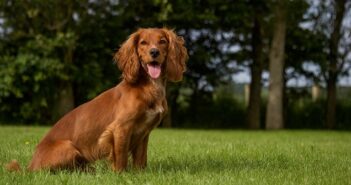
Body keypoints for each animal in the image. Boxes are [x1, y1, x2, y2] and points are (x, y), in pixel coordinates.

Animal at [6, 27, 188, 172]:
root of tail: (30, 166)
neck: (149, 87)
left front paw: (139, 174)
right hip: (69, 148)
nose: (154, 52)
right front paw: (121, 175)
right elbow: (121, 156)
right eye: (143, 43)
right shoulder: (120, 128)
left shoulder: (144, 132)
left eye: (162, 41)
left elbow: (141, 159)